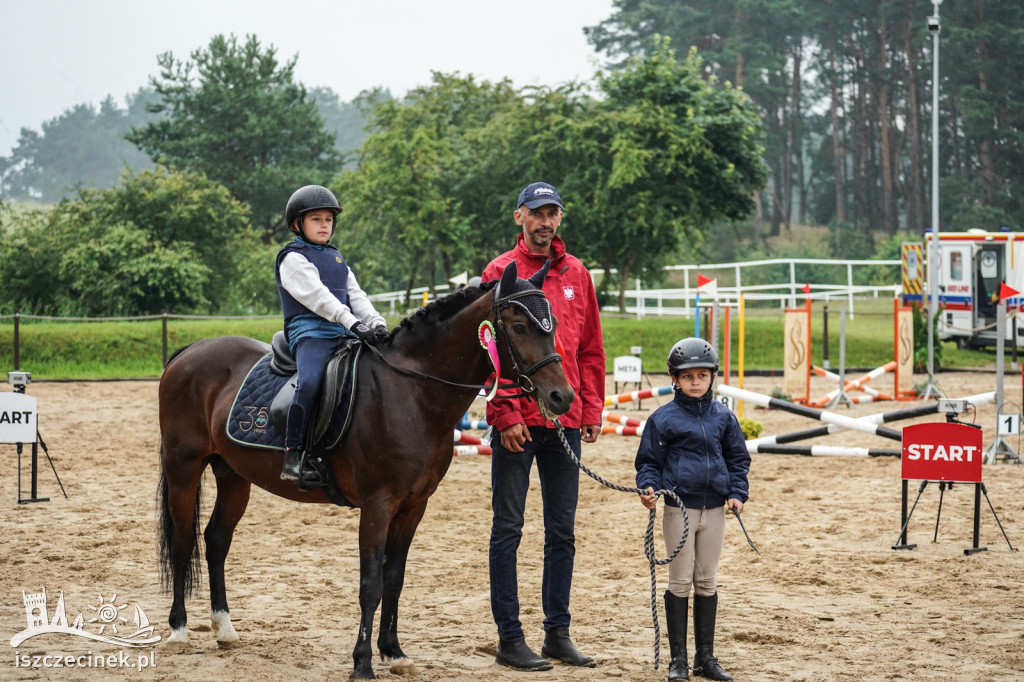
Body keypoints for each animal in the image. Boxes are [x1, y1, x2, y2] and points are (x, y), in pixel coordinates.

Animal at [155, 259, 573, 675]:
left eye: (551, 321)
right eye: (518, 326)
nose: (562, 397)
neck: (411, 392)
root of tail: (189, 352)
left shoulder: (413, 506)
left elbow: (394, 579)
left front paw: (394, 652)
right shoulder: (378, 505)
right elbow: (370, 584)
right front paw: (362, 662)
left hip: (233, 476)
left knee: (216, 540)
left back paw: (225, 628)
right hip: (183, 469)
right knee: (182, 540)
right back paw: (179, 630)